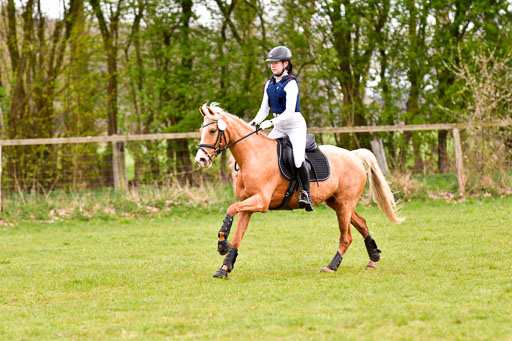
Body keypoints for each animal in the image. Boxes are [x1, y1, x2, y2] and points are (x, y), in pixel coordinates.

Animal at [194, 103, 402, 276]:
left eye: (212, 130)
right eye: (201, 130)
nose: (201, 160)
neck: (252, 156)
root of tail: (354, 155)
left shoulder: (261, 202)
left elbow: (231, 209)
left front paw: (222, 244)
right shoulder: (248, 205)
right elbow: (237, 235)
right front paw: (224, 266)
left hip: (345, 203)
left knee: (347, 237)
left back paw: (332, 266)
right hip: (337, 203)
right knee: (363, 224)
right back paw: (373, 258)